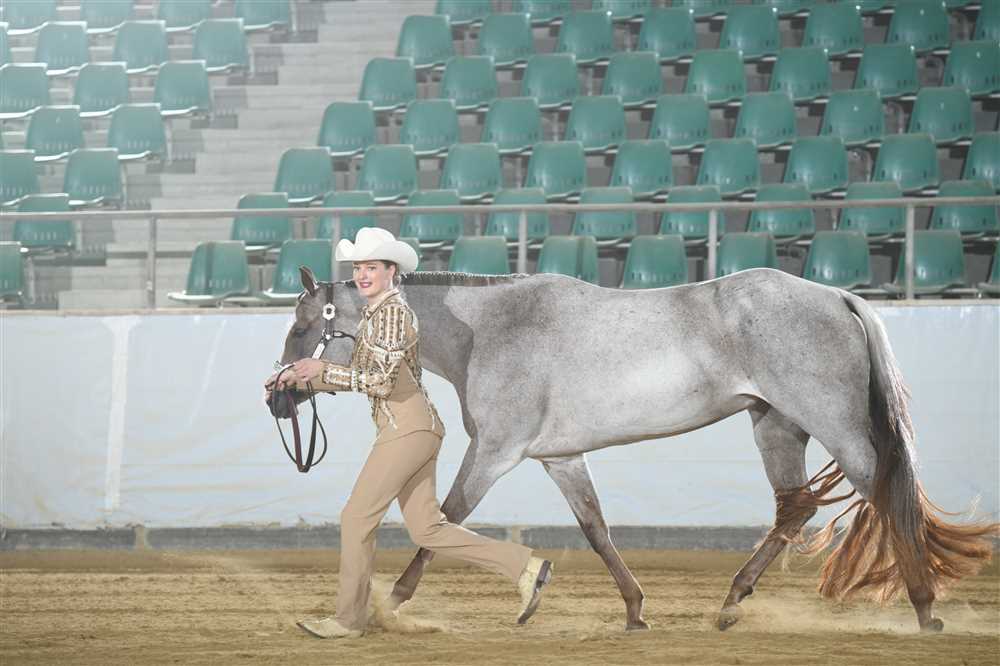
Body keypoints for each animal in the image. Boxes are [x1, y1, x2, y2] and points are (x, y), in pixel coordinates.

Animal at [279, 266, 997, 633]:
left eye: (308, 323)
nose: (282, 397)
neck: (491, 329)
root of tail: (840, 297)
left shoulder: (496, 451)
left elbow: (445, 519)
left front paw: (392, 600)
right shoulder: (561, 457)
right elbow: (597, 530)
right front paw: (634, 610)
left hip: (837, 426)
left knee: (890, 499)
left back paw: (926, 609)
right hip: (776, 426)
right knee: (795, 509)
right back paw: (732, 603)